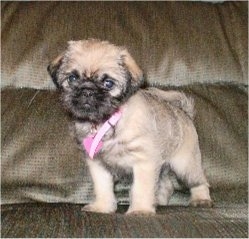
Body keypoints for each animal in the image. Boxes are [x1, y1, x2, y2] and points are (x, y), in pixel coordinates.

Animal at [47, 39, 213, 215]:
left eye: (108, 83)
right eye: (72, 78)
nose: (87, 90)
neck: (105, 122)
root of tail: (184, 113)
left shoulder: (143, 162)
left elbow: (141, 189)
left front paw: (140, 210)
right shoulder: (99, 166)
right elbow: (103, 188)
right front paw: (102, 206)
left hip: (185, 165)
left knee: (199, 182)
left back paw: (201, 199)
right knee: (167, 185)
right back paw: (158, 201)